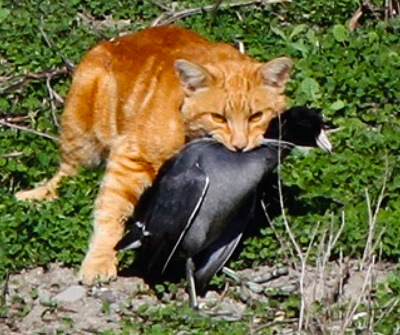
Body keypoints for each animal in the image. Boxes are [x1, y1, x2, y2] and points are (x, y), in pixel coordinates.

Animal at [15, 25, 292, 284]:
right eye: (218, 117)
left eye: (256, 116)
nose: (240, 145)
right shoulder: (130, 159)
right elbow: (110, 211)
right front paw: (99, 260)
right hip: (81, 126)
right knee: (67, 173)